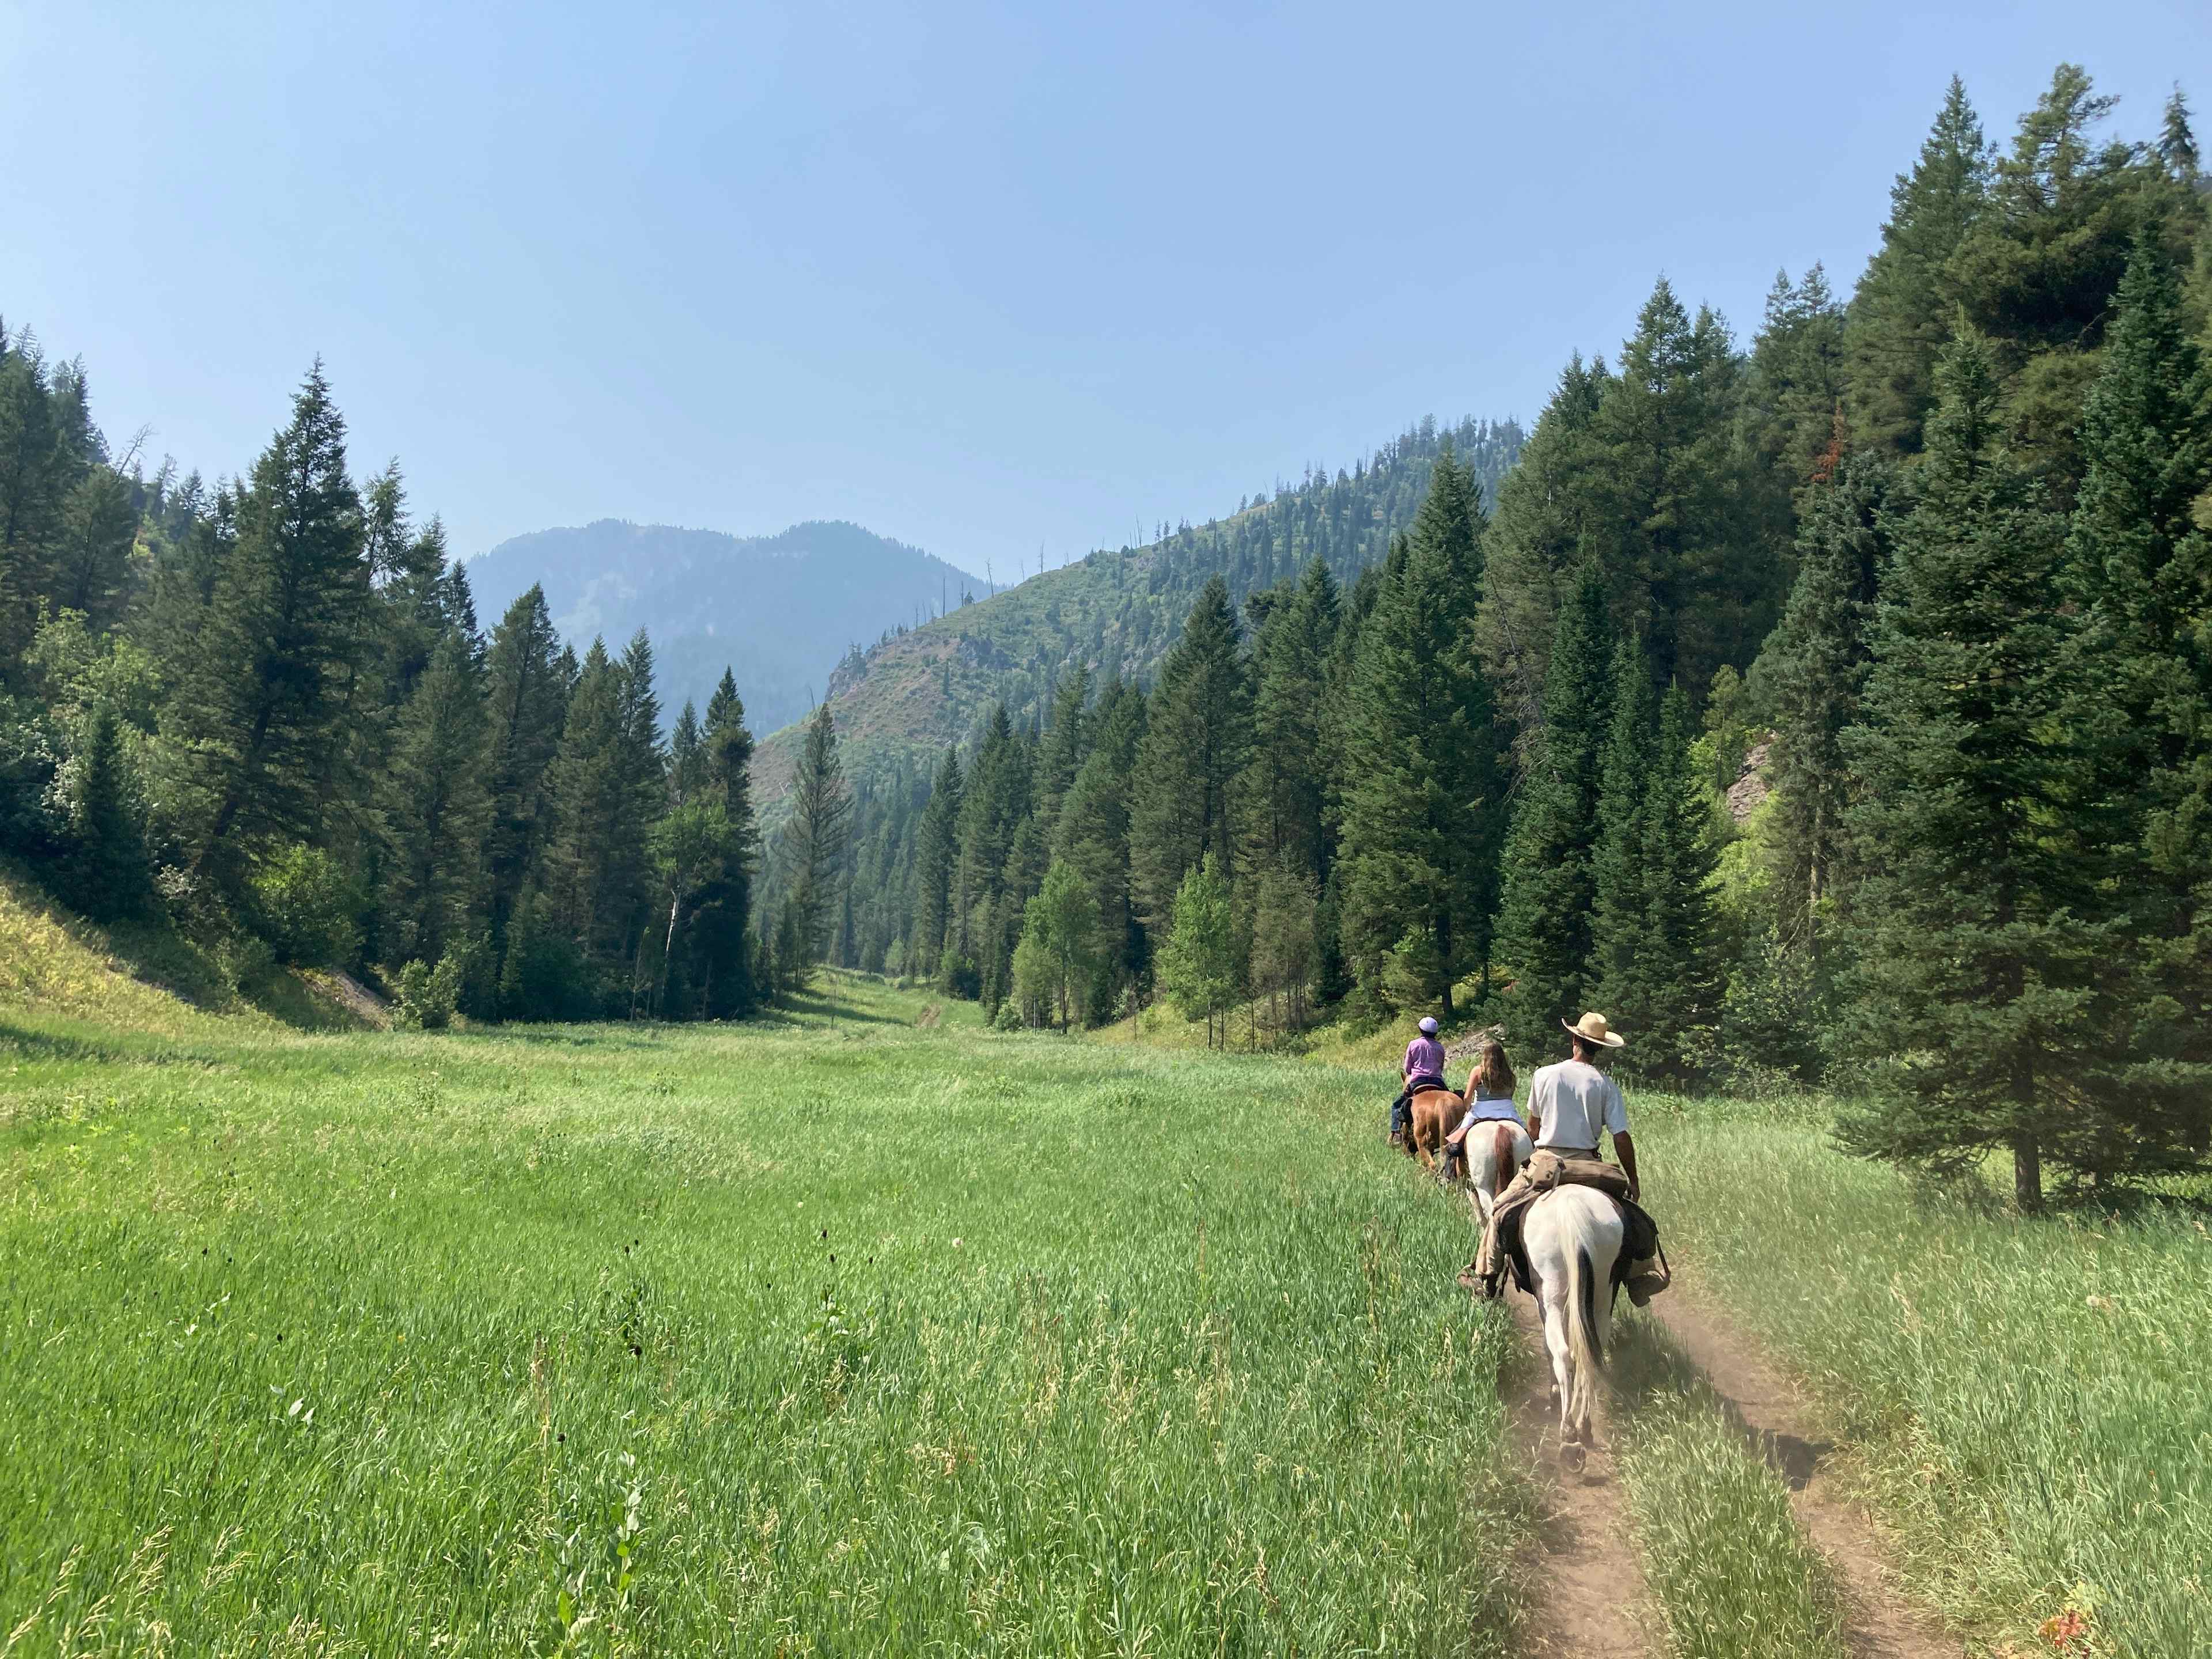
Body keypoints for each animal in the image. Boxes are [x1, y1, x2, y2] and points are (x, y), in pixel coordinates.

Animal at [1521, 1185, 1628, 1478]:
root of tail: (1572, 1207)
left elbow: (1550, 1350)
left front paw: (1554, 1397)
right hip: (1603, 1288)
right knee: (1589, 1355)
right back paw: (1584, 1428)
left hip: (1551, 1290)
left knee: (1562, 1354)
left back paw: (1569, 1436)